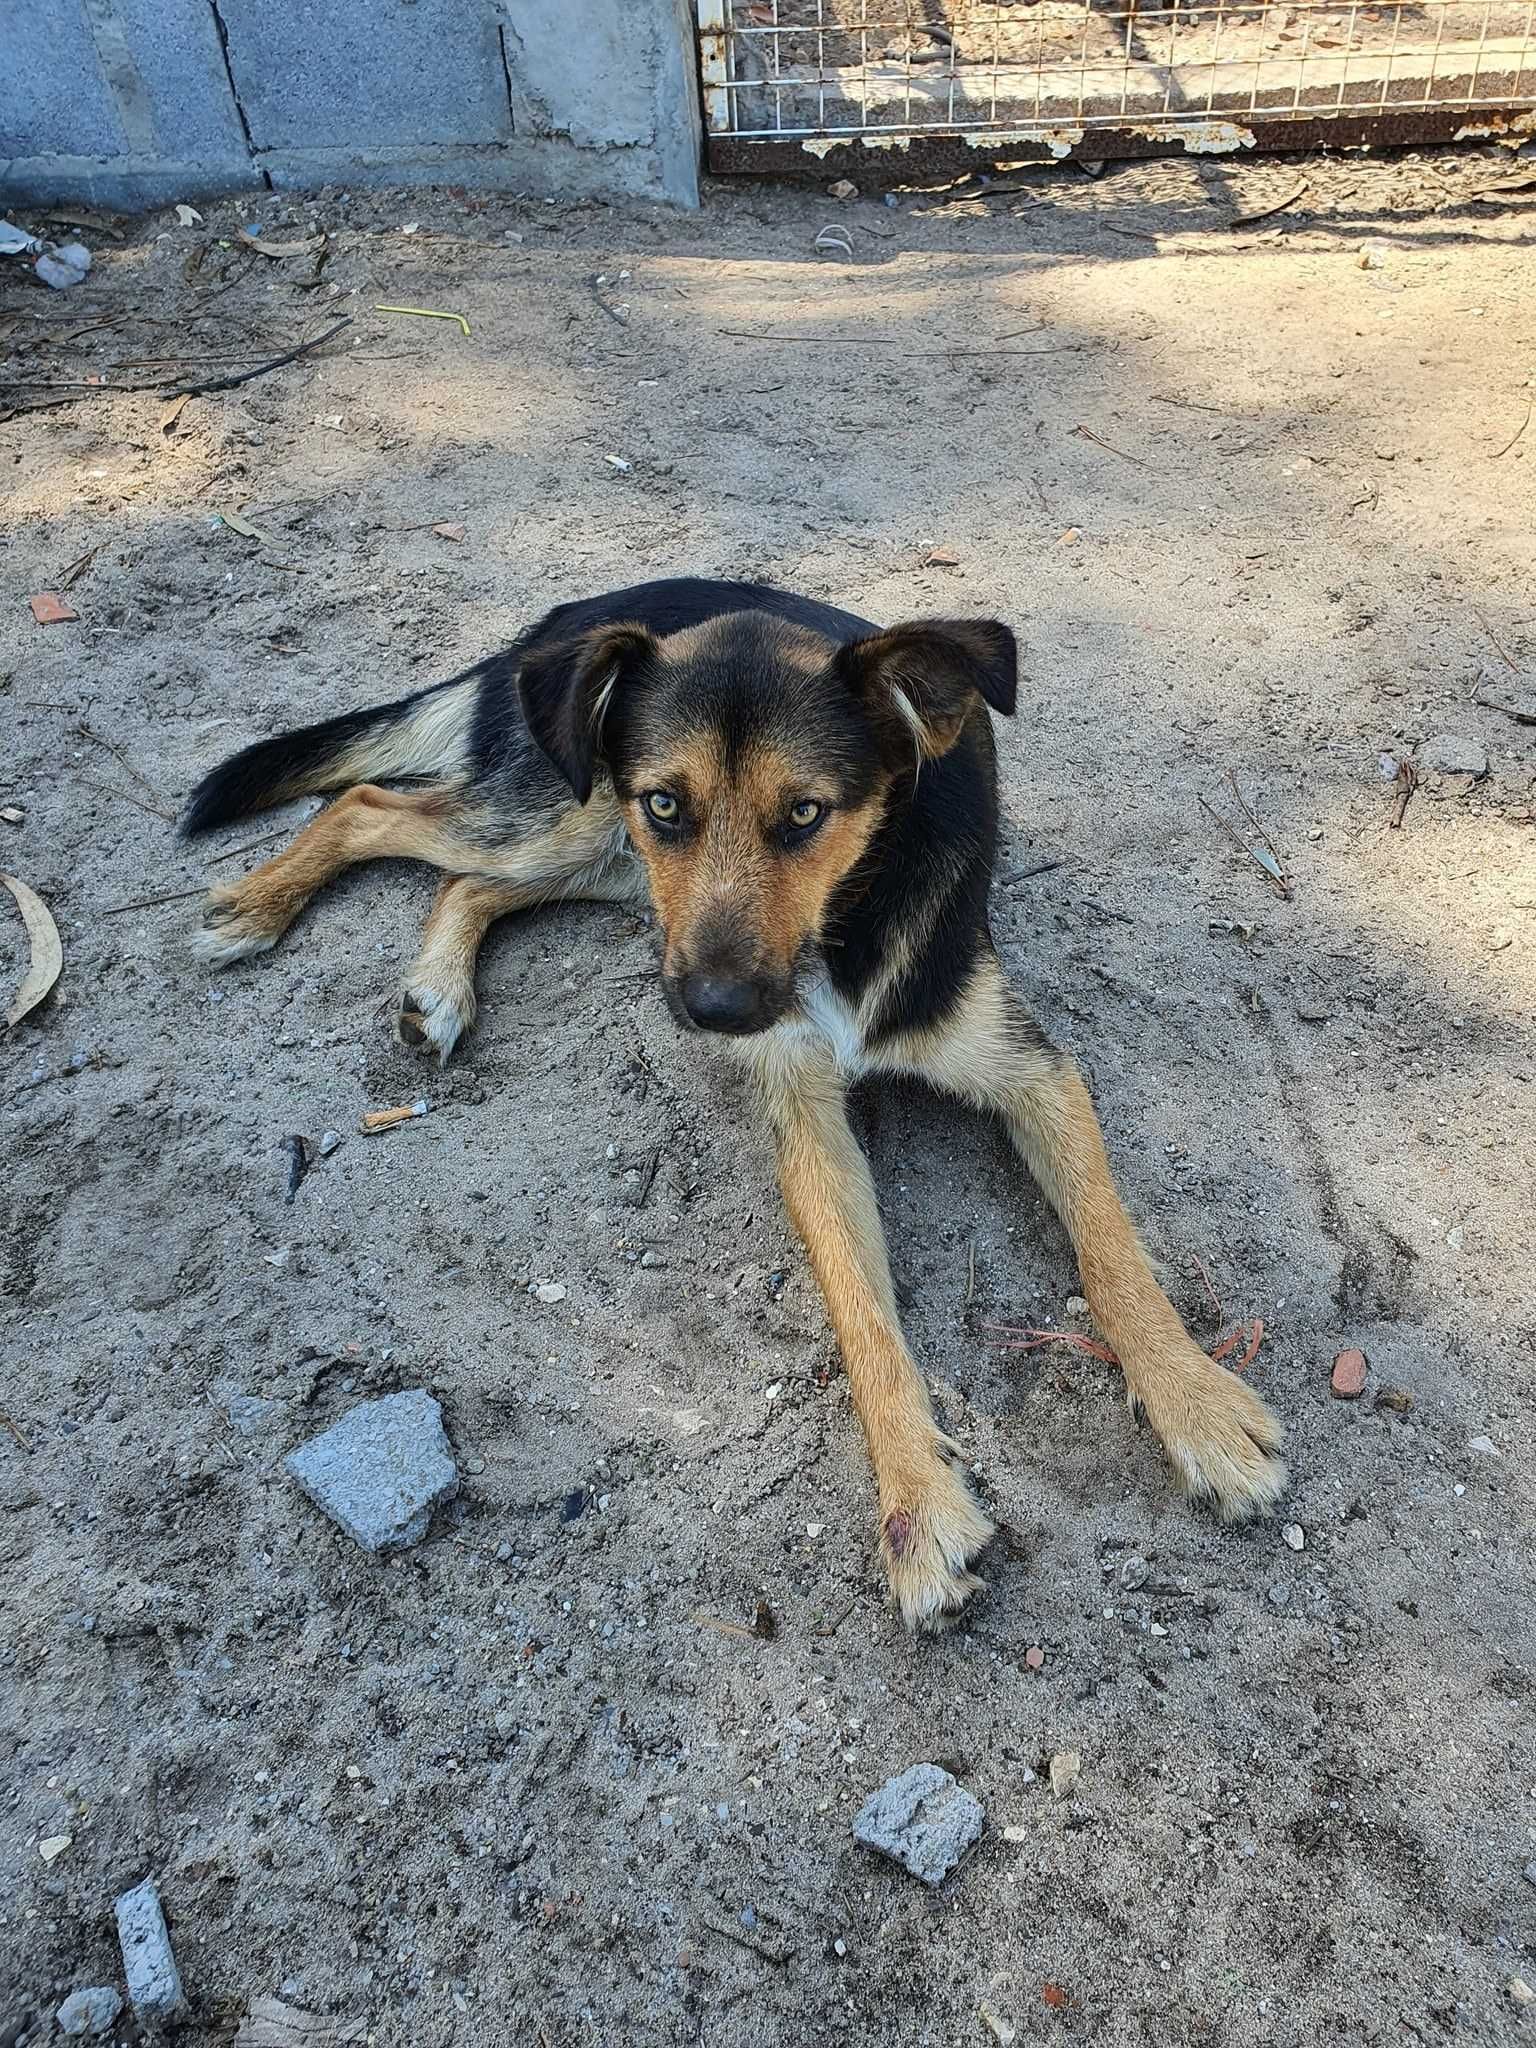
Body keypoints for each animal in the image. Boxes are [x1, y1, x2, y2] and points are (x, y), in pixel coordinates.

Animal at [180, 577, 1286, 1630]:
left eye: (805, 814)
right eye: (671, 803)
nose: (715, 1011)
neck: (845, 920)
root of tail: (566, 619)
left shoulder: (1032, 1072)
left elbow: (1113, 1252)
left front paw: (1197, 1402)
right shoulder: (806, 1116)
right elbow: (865, 1324)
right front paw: (918, 1508)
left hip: (603, 854)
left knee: (458, 876)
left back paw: (435, 985)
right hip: (579, 817)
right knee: (375, 805)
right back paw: (259, 906)